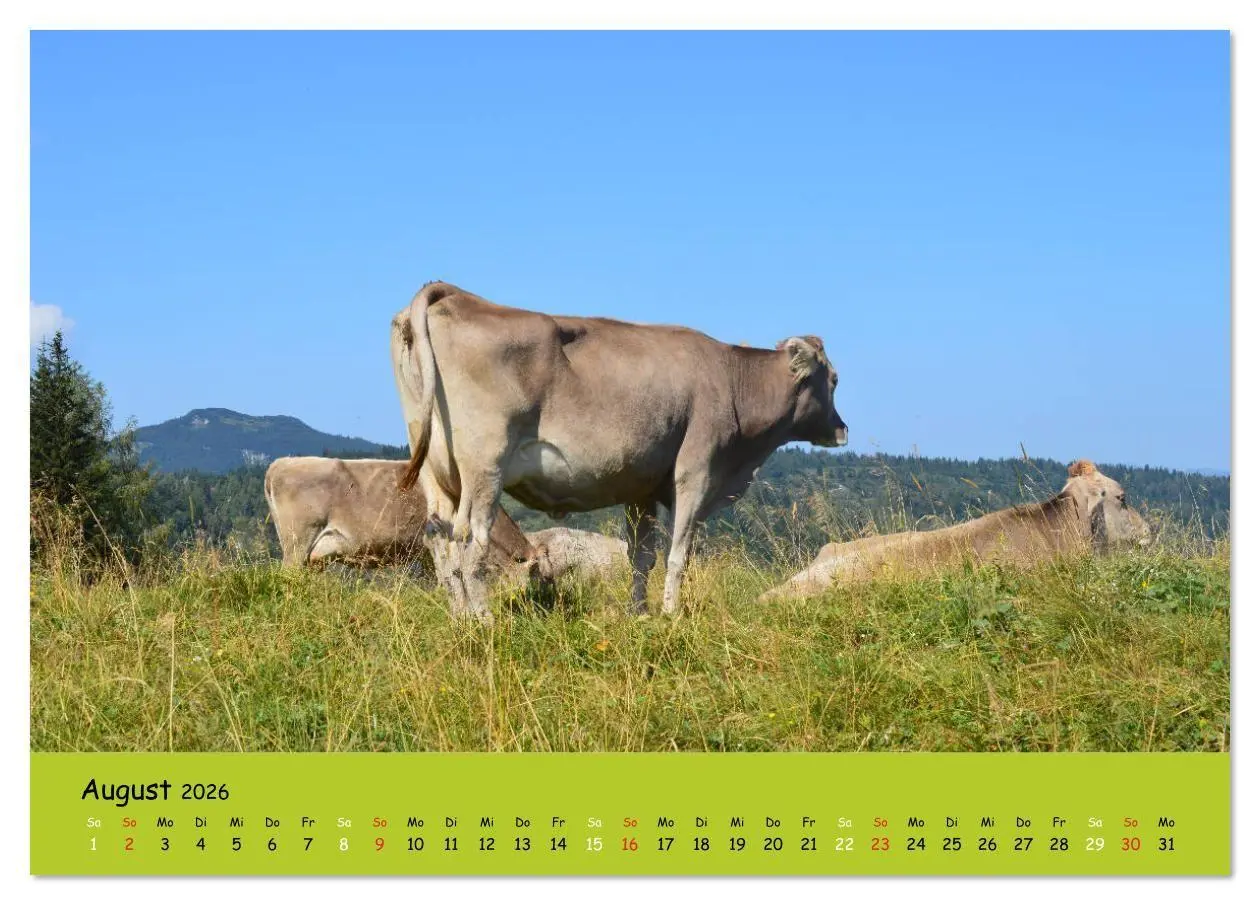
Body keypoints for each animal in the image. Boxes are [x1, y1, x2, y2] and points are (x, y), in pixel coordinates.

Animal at [391, 281, 847, 620]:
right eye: (835, 379)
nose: (842, 429)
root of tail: (457, 295)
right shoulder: (696, 472)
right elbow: (678, 555)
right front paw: (671, 615)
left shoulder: (640, 488)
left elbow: (642, 558)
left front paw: (639, 614)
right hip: (485, 467)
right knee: (470, 542)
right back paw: (484, 620)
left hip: (437, 471)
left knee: (441, 544)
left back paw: (460, 617)